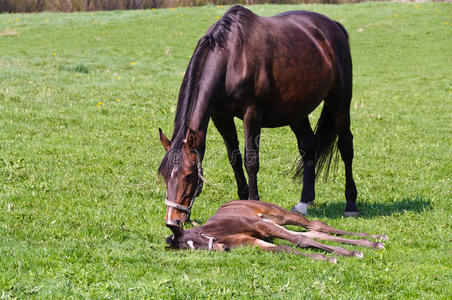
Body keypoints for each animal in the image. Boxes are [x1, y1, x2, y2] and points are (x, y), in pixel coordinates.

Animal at [164, 202, 386, 262]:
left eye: (198, 238)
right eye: (192, 249)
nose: (224, 249)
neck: (219, 232)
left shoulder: (262, 227)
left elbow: (299, 241)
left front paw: (344, 255)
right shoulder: (253, 241)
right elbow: (284, 248)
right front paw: (323, 258)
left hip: (279, 216)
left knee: (316, 226)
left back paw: (376, 239)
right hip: (278, 225)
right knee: (315, 233)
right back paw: (370, 243)